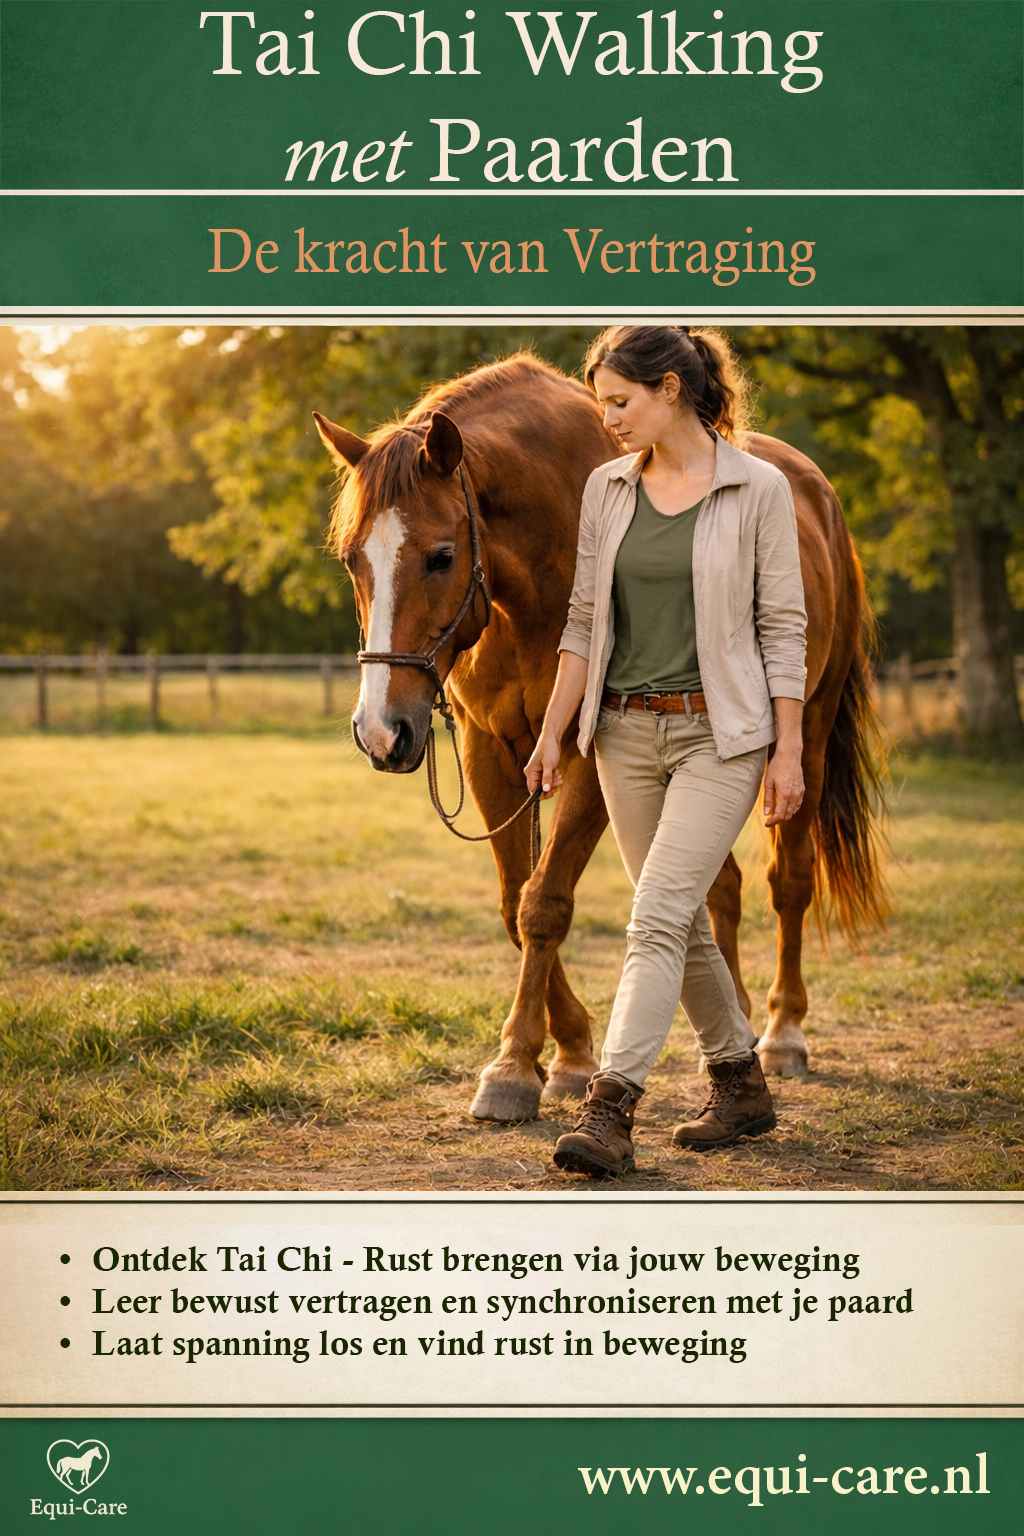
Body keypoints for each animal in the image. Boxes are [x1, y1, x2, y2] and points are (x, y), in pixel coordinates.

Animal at [314, 354, 886, 1123]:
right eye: (352, 559)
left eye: (440, 556)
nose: (382, 732)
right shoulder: (493, 752)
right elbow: (515, 902)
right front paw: (567, 1052)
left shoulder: (589, 755)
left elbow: (545, 905)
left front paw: (515, 1068)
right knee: (718, 889)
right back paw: (730, 1021)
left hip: (808, 741)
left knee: (787, 883)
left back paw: (782, 1033)